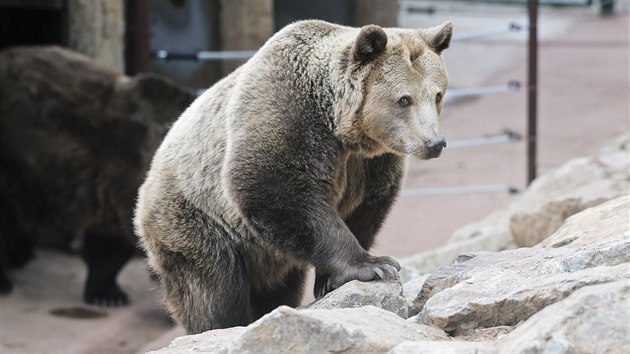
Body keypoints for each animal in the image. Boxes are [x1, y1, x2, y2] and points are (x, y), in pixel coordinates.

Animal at [135, 19, 454, 334]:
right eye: (404, 99)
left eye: (437, 94)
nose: (434, 143)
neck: (341, 127)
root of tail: (145, 185)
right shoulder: (286, 115)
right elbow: (273, 188)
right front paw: (374, 265)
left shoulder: (370, 164)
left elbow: (366, 209)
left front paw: (331, 279)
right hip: (195, 220)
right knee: (213, 286)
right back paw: (219, 324)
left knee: (278, 287)